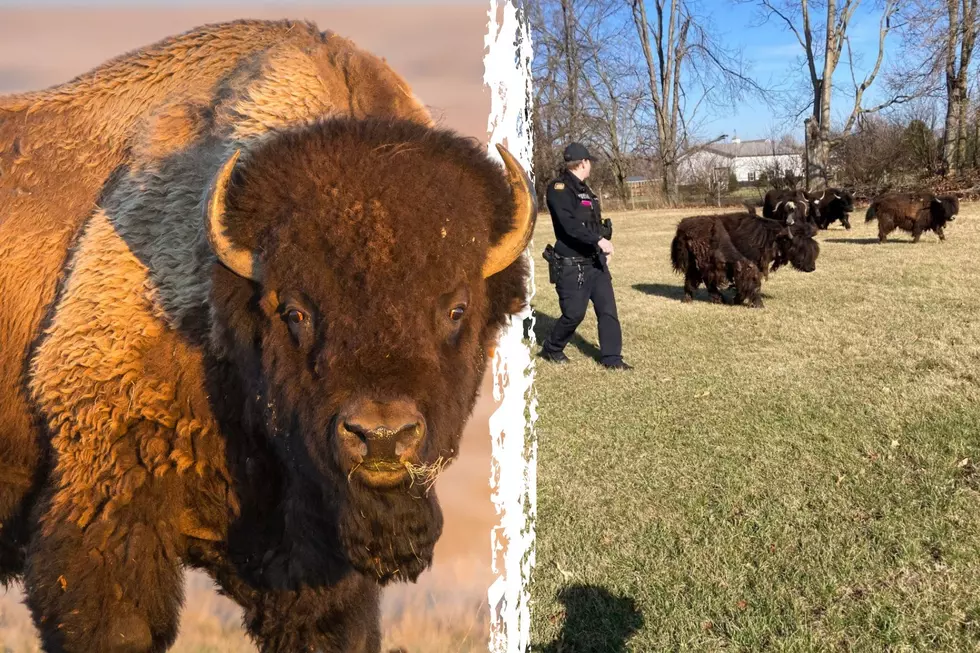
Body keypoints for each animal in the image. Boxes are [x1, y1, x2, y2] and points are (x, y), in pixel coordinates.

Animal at [668, 211, 824, 308]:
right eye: (798, 245)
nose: (812, 267)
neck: (773, 237)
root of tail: (681, 228)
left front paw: (738, 300)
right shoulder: (747, 265)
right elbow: (753, 283)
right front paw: (758, 304)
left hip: (697, 264)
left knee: (697, 279)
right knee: (700, 279)